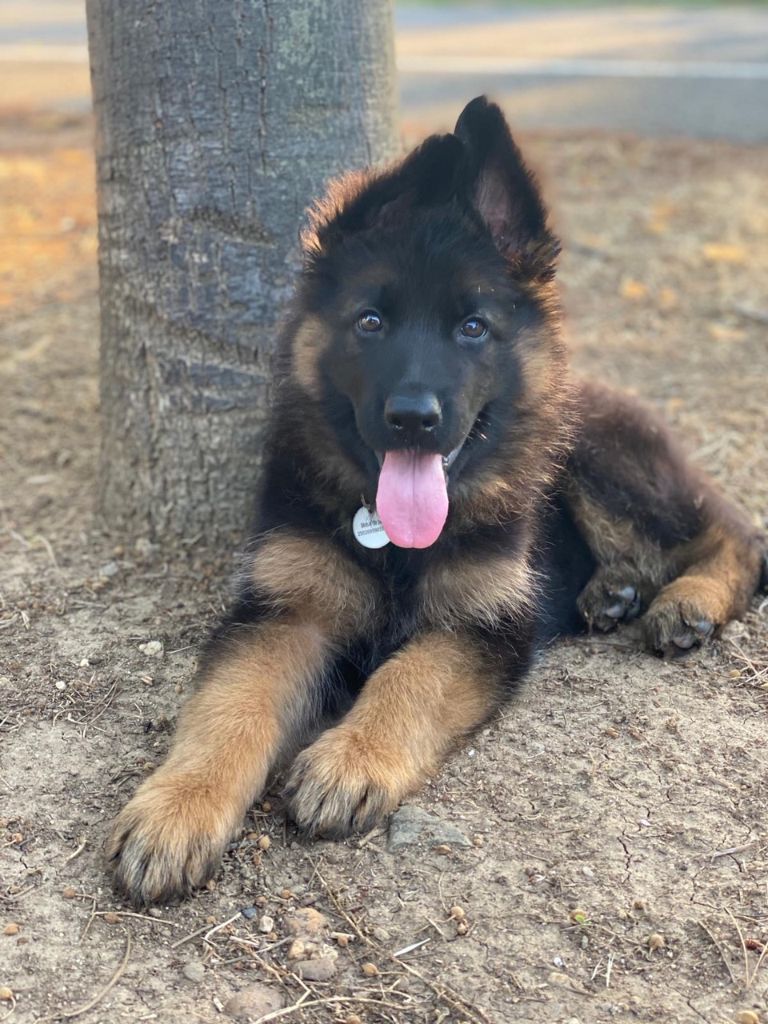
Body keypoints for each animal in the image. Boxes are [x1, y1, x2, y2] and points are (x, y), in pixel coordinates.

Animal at [107, 97, 767, 906]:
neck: (392, 543)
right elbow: (230, 706)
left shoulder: (482, 625)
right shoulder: (286, 612)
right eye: (370, 322)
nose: (413, 418)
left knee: (731, 532)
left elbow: (409, 678)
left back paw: (685, 601)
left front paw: (351, 758)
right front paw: (177, 808)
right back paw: (612, 592)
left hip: (600, 461)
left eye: (473, 326)